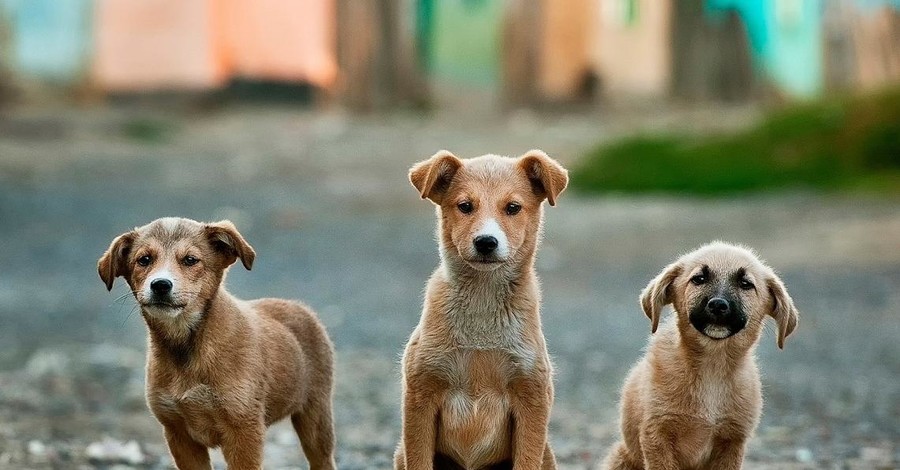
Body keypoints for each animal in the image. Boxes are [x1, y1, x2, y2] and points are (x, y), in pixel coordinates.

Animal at [98, 218, 336, 468]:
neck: (187, 347)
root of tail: (299, 306)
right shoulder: (178, 432)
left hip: (316, 417)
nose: (160, 285)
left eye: (190, 260)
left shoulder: (243, 429)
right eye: (144, 260)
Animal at [396, 151, 568, 470]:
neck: (482, 304)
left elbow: (526, 460)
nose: (486, 242)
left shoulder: (532, 396)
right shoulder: (420, 394)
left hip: (548, 453)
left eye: (513, 208)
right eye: (465, 206)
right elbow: (419, 459)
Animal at [604, 242, 800, 470]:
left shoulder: (732, 440)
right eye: (699, 279)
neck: (712, 365)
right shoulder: (657, 434)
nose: (718, 305)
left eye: (746, 284)